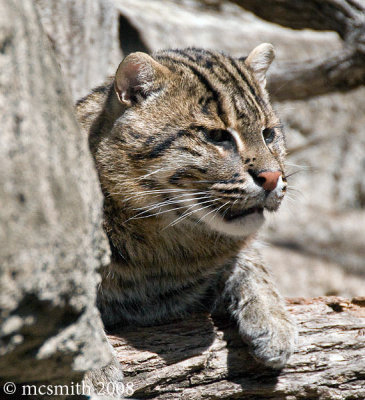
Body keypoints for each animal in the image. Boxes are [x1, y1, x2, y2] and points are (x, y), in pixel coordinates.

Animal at [76, 44, 296, 382]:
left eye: (268, 134)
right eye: (216, 136)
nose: (273, 177)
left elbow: (249, 258)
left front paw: (273, 319)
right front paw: (93, 367)